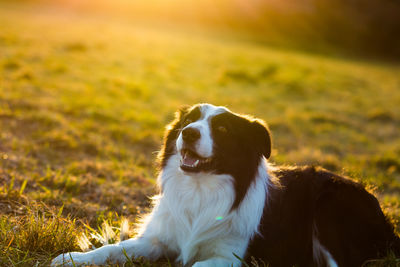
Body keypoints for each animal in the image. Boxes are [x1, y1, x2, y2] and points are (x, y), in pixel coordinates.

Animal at [52, 103, 400, 266]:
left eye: (222, 129)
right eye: (188, 120)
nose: (189, 133)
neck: (201, 190)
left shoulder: (231, 256)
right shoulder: (160, 239)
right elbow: (113, 249)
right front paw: (74, 258)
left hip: (331, 206)